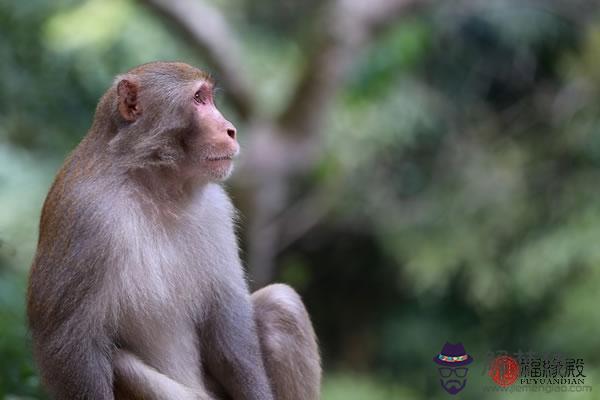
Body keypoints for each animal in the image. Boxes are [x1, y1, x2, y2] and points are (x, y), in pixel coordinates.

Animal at [27, 62, 324, 400]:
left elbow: (227, 325)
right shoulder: (87, 217)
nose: (231, 129)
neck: (156, 186)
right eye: (198, 99)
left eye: (208, 98)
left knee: (281, 305)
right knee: (118, 361)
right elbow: (68, 343)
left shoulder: (216, 209)